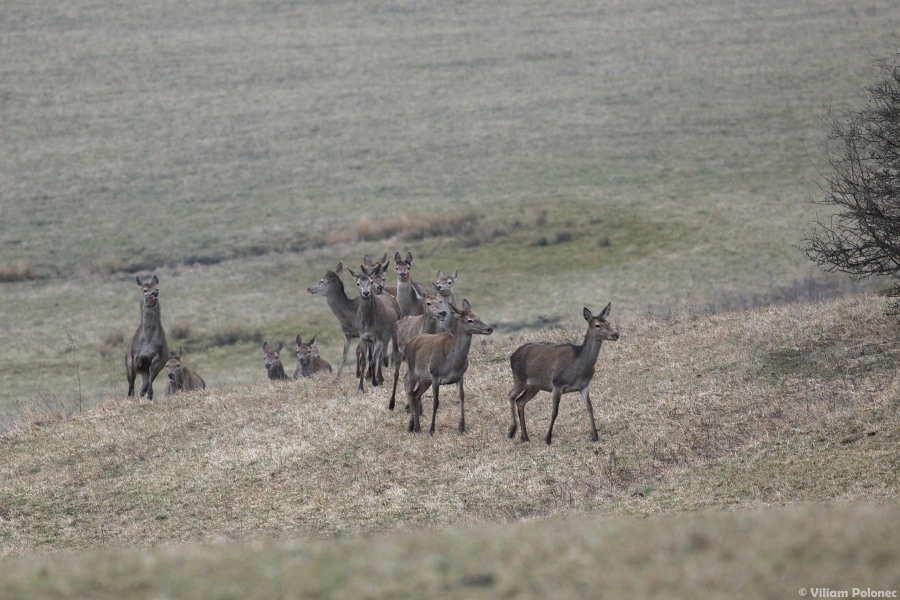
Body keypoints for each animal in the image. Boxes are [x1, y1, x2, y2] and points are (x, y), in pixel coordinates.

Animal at [348, 264, 398, 392]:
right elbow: (364, 361)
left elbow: (374, 361)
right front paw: (360, 387)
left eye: (370, 281)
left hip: (389, 334)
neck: (368, 323)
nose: (366, 292)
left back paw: (380, 378)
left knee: (380, 357)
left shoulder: (379, 338)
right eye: (358, 283)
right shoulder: (363, 338)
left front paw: (375, 381)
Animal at [404, 300, 496, 436]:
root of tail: (409, 343)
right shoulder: (435, 375)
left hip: (425, 379)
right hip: (412, 371)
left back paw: (418, 427)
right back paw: (410, 426)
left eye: (478, 317)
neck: (452, 362)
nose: (489, 328)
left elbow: (462, 397)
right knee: (409, 390)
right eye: (469, 320)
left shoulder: (459, 377)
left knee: (416, 395)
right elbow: (436, 402)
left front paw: (462, 427)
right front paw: (432, 429)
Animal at [506, 302, 620, 442]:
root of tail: (512, 356)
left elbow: (589, 407)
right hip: (519, 378)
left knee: (520, 401)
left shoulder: (584, 386)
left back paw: (525, 436)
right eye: (597, 325)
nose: (615, 334)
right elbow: (554, 412)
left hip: (534, 386)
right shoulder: (557, 383)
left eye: (608, 322)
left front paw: (595, 436)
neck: (578, 367)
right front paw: (548, 438)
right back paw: (512, 431)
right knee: (510, 395)